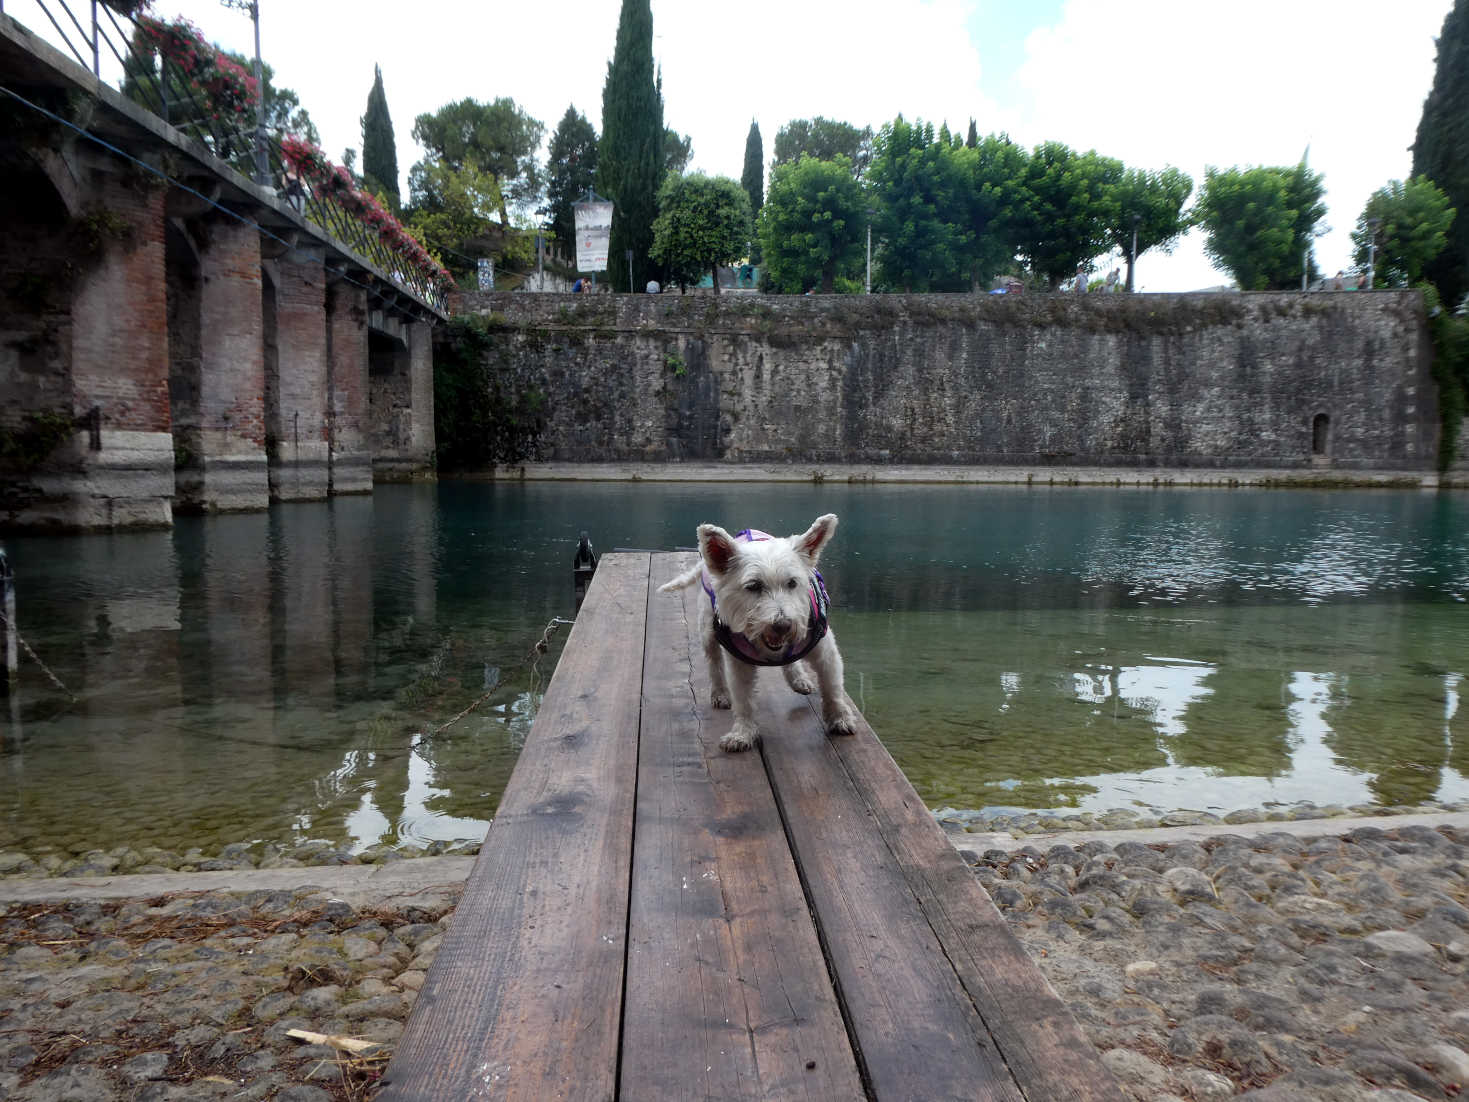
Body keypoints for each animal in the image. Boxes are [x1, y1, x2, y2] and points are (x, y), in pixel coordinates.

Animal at [658, 514, 857, 758]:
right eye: (753, 586)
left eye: (792, 583)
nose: (783, 625)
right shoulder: (739, 664)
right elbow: (743, 700)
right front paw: (742, 734)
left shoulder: (826, 651)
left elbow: (832, 687)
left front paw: (840, 719)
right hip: (707, 631)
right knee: (714, 663)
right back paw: (720, 694)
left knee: (791, 663)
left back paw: (798, 678)